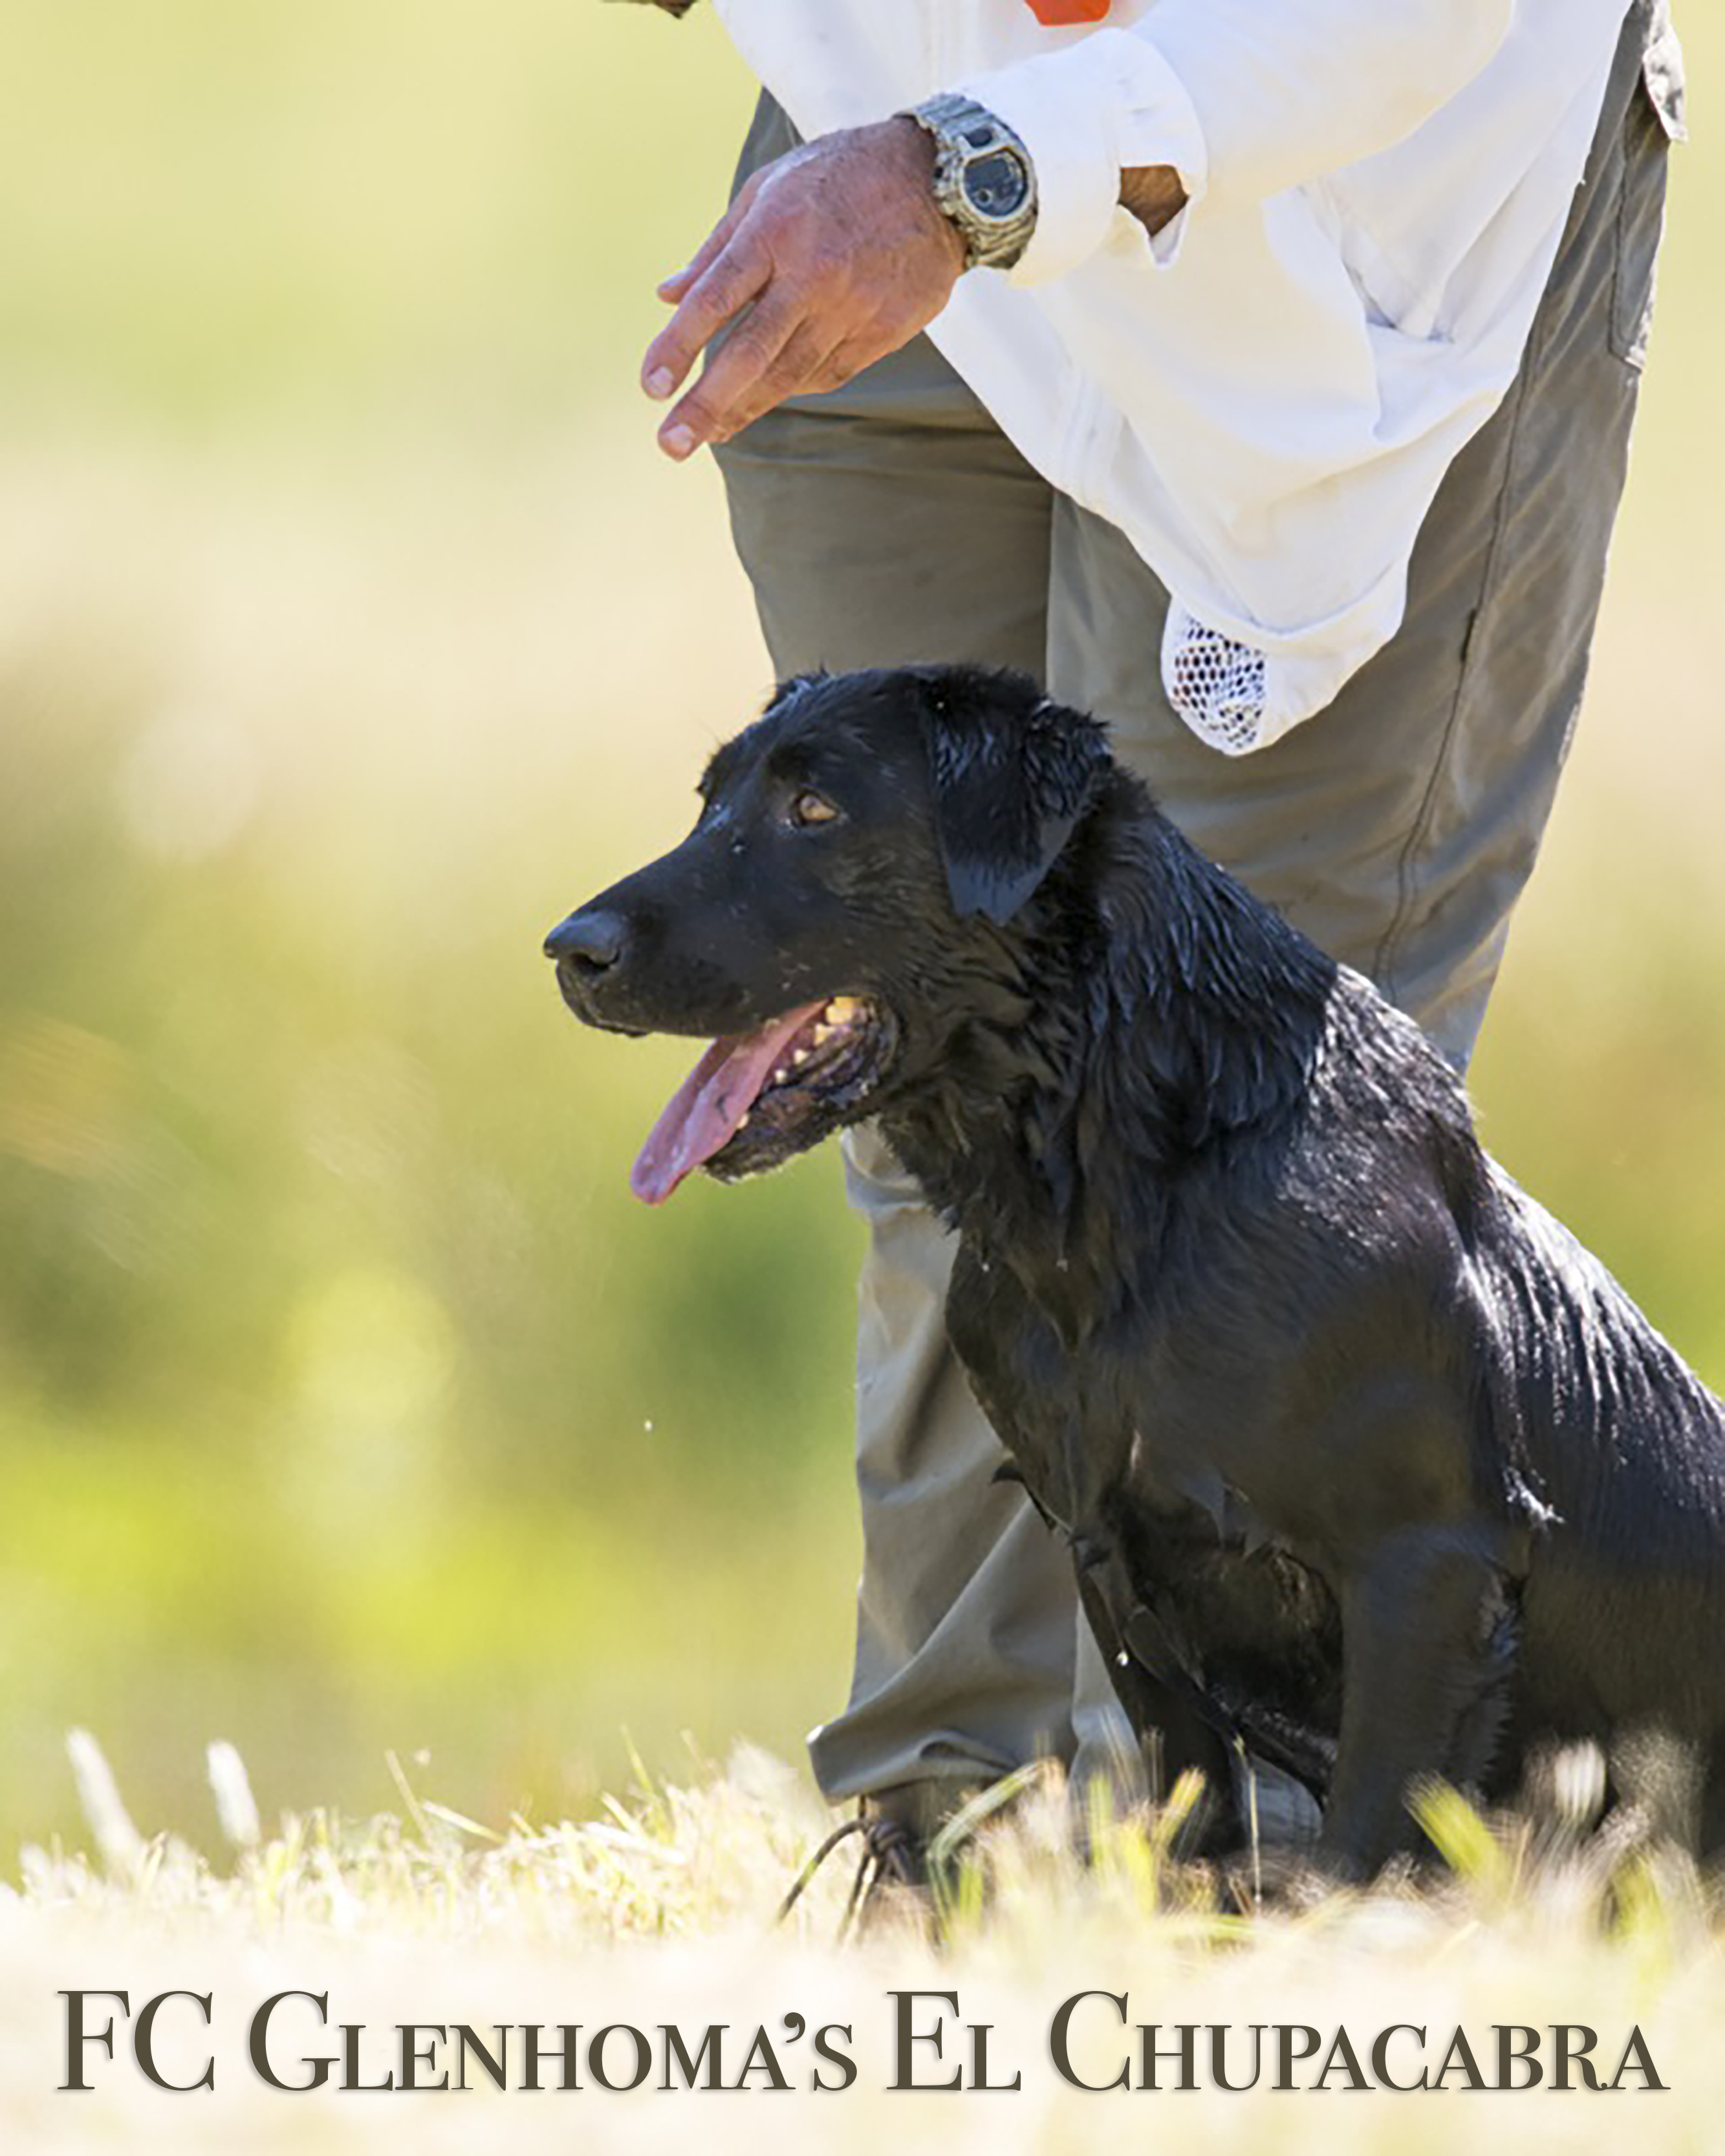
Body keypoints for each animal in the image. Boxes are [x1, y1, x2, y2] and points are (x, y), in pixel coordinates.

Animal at [545, 664, 1725, 1880]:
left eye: (813, 808)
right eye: (708, 802)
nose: (572, 950)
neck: (1119, 1193)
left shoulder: (1424, 1564)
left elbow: (1358, 1843)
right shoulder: (1107, 1557)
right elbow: (1187, 1817)